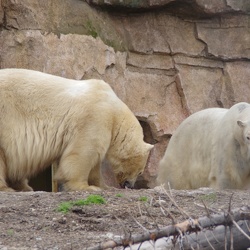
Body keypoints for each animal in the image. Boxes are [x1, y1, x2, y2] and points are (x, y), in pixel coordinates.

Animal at [0, 68, 153, 191]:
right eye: (140, 172)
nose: (130, 185)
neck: (115, 111)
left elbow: (95, 164)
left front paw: (104, 186)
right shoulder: (95, 117)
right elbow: (84, 152)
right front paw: (86, 187)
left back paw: (24, 187)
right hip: (6, 116)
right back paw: (8, 188)